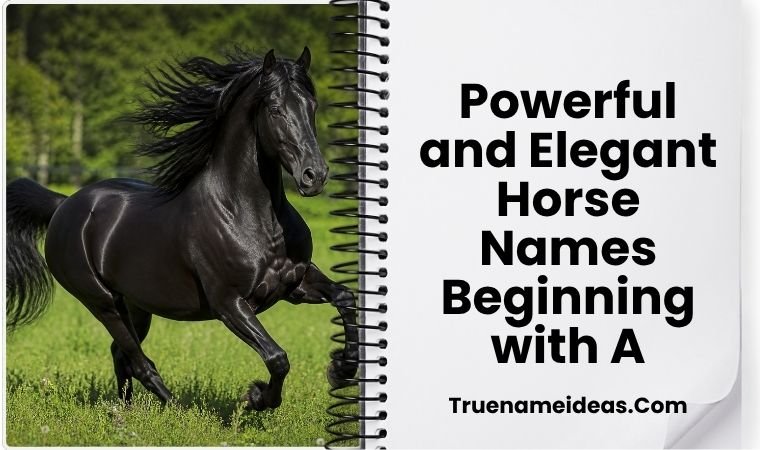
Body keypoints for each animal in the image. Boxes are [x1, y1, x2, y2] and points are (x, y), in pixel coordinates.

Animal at [5, 47, 359, 412]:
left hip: (137, 305)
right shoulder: (229, 303)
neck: (253, 218)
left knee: (121, 354)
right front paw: (257, 398)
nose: (314, 175)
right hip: (103, 302)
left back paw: (125, 411)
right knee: (140, 361)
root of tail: (63, 205)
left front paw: (341, 369)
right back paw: (176, 409)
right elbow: (277, 358)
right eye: (275, 109)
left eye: (311, 106)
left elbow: (346, 297)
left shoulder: (294, 283)